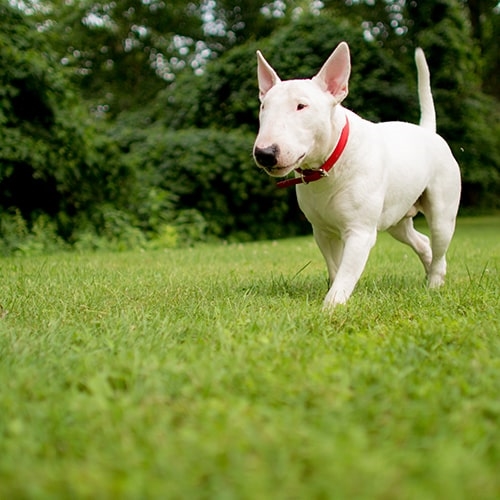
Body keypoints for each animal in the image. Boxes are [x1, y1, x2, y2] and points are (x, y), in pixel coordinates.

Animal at [254, 43, 460, 308]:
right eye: (264, 107)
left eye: (302, 106)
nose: (265, 153)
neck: (327, 168)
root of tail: (428, 132)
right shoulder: (322, 231)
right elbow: (335, 266)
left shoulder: (360, 232)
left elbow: (347, 270)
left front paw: (331, 306)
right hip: (396, 216)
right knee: (422, 242)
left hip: (442, 211)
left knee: (439, 244)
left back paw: (435, 282)